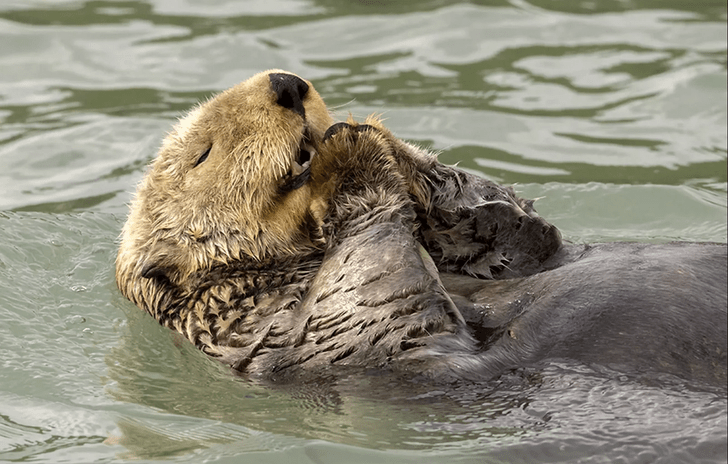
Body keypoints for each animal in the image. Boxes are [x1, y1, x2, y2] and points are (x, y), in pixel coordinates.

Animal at [115, 70, 728, 388]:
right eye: (202, 153)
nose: (286, 85)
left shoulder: (516, 247)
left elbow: (523, 233)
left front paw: (371, 134)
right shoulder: (259, 327)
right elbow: (373, 303)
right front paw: (351, 156)